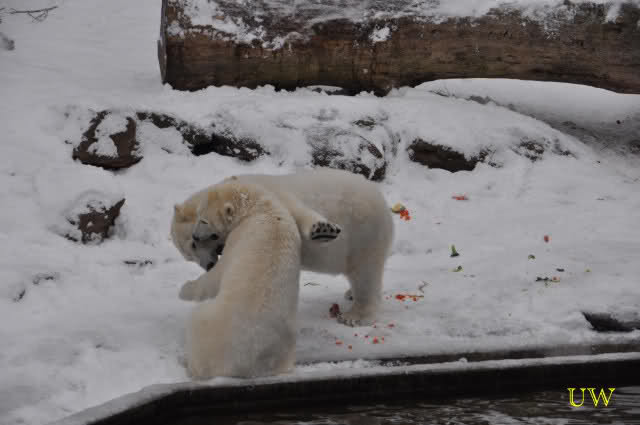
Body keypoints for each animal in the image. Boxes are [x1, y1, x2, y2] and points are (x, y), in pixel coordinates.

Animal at [172, 168, 394, 327]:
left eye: (194, 242)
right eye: (189, 255)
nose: (208, 264)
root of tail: (383, 203)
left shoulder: (266, 191)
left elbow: (295, 209)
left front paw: (321, 230)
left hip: (363, 232)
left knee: (365, 273)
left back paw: (355, 315)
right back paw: (350, 293)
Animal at [185, 180, 301, 379]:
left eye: (203, 220)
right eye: (198, 214)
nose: (194, 236)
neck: (260, 209)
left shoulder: (237, 237)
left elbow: (216, 277)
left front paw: (185, 288)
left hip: (208, 325)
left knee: (197, 320)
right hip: (284, 343)